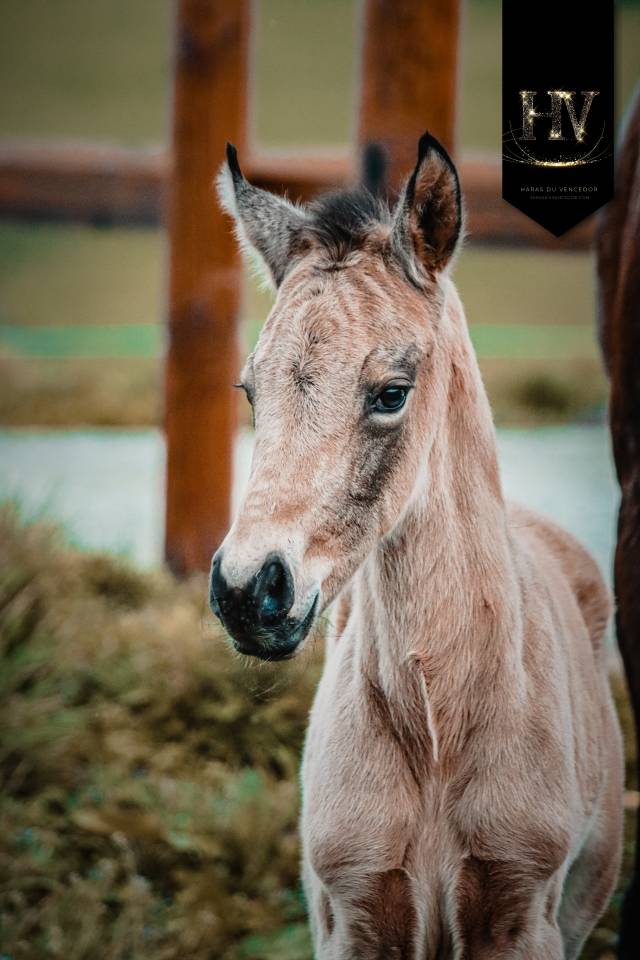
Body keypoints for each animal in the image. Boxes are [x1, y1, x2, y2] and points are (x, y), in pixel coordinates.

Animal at [209, 131, 623, 958]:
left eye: (391, 392)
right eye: (250, 392)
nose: (246, 590)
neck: (437, 732)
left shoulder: (523, 918)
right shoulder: (353, 914)